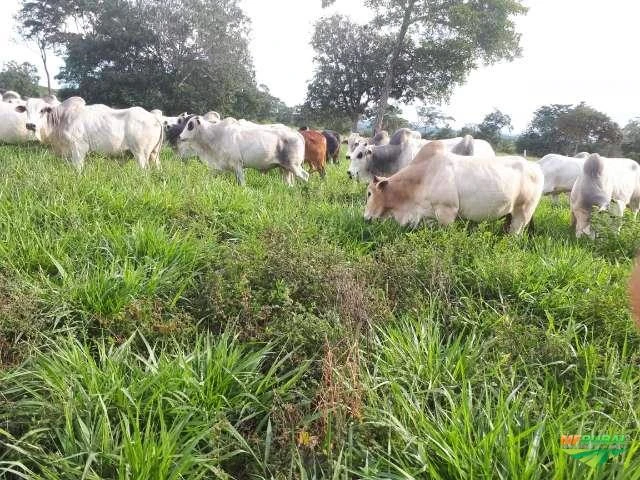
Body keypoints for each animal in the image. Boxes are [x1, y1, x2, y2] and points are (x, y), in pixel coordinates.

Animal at [17, 96, 164, 170]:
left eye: (42, 110)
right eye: (26, 109)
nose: (30, 125)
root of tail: (154, 116)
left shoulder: (79, 148)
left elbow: (78, 168)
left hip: (141, 154)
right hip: (154, 155)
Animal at [178, 116, 308, 186]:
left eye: (190, 125)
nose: (180, 136)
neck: (216, 135)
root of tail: (296, 133)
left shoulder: (237, 164)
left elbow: (242, 182)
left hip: (294, 166)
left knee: (305, 176)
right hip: (285, 168)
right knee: (289, 183)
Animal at [362, 141, 544, 234]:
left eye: (369, 193)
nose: (365, 218)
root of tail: (535, 167)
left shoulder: (447, 213)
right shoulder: (428, 216)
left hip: (522, 214)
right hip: (509, 214)